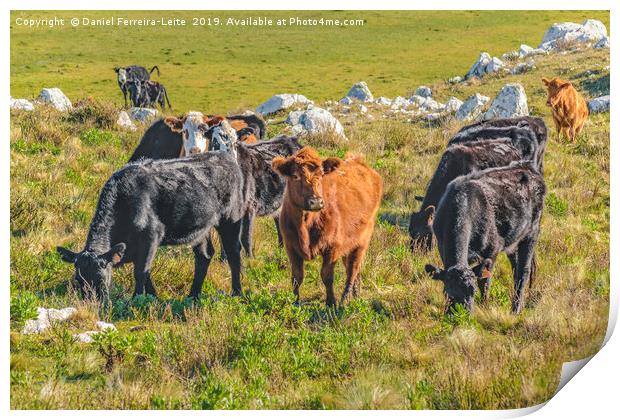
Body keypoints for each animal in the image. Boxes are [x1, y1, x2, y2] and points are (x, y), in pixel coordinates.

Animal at [57, 136, 304, 300]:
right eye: (78, 280)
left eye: (101, 279)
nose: (91, 303)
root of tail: (224, 156)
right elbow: (146, 272)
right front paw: (153, 297)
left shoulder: (151, 237)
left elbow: (141, 271)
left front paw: (138, 300)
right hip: (201, 227)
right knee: (204, 256)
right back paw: (193, 294)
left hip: (231, 219)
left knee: (234, 254)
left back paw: (237, 292)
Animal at [272, 148, 382, 306]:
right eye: (295, 176)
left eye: (321, 175)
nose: (316, 202)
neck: (305, 224)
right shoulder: (290, 246)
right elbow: (297, 277)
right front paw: (295, 302)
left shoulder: (332, 247)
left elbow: (327, 276)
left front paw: (331, 302)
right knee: (352, 268)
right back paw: (355, 295)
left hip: (363, 240)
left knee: (352, 269)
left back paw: (345, 299)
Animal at [424, 162, 544, 314]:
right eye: (447, 292)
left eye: (473, 292)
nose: (462, 315)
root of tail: (527, 167)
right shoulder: (442, 246)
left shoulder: (492, 250)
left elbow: (484, 282)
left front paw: (485, 306)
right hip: (514, 241)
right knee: (516, 269)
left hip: (532, 233)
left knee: (524, 271)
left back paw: (515, 309)